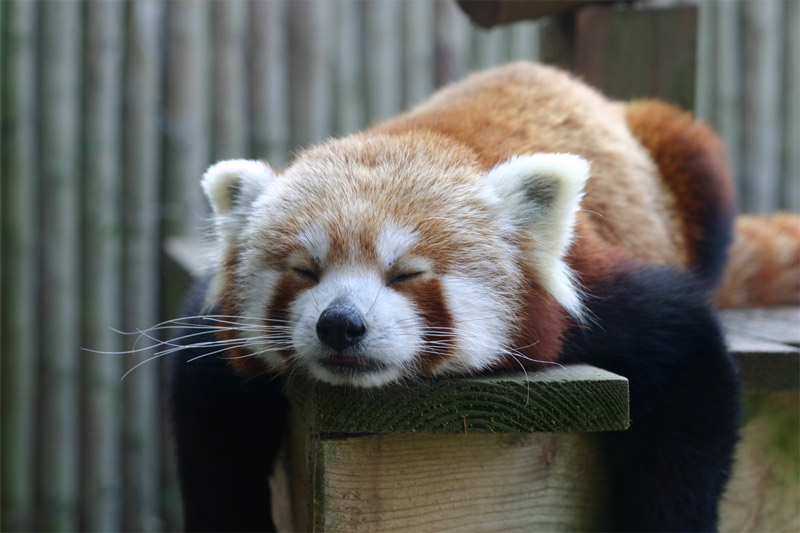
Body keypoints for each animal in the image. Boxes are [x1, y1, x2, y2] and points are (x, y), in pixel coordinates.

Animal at [169, 62, 752, 528]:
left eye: (405, 274)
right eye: (305, 271)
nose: (340, 324)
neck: (430, 137)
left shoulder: (603, 292)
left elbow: (687, 374)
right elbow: (210, 424)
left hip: (680, 153)